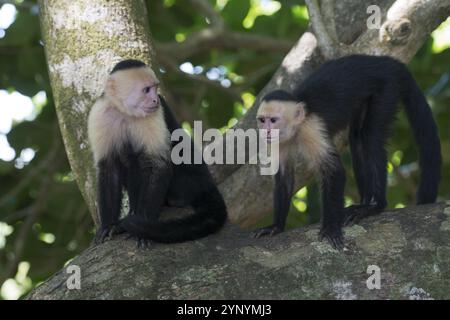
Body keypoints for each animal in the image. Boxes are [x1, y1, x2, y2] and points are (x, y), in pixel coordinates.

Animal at [88, 59, 229, 245]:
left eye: (155, 88)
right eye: (146, 90)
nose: (155, 99)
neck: (125, 112)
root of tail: (207, 184)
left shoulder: (155, 113)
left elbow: (157, 164)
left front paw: (141, 225)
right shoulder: (100, 114)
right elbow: (109, 167)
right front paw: (108, 226)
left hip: (187, 183)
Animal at [255, 54, 442, 250]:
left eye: (273, 120)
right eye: (262, 120)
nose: (266, 131)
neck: (297, 128)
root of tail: (387, 61)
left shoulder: (312, 129)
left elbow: (334, 171)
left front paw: (331, 227)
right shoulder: (278, 142)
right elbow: (284, 178)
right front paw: (276, 227)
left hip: (386, 89)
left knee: (370, 136)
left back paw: (375, 206)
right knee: (357, 137)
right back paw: (365, 202)